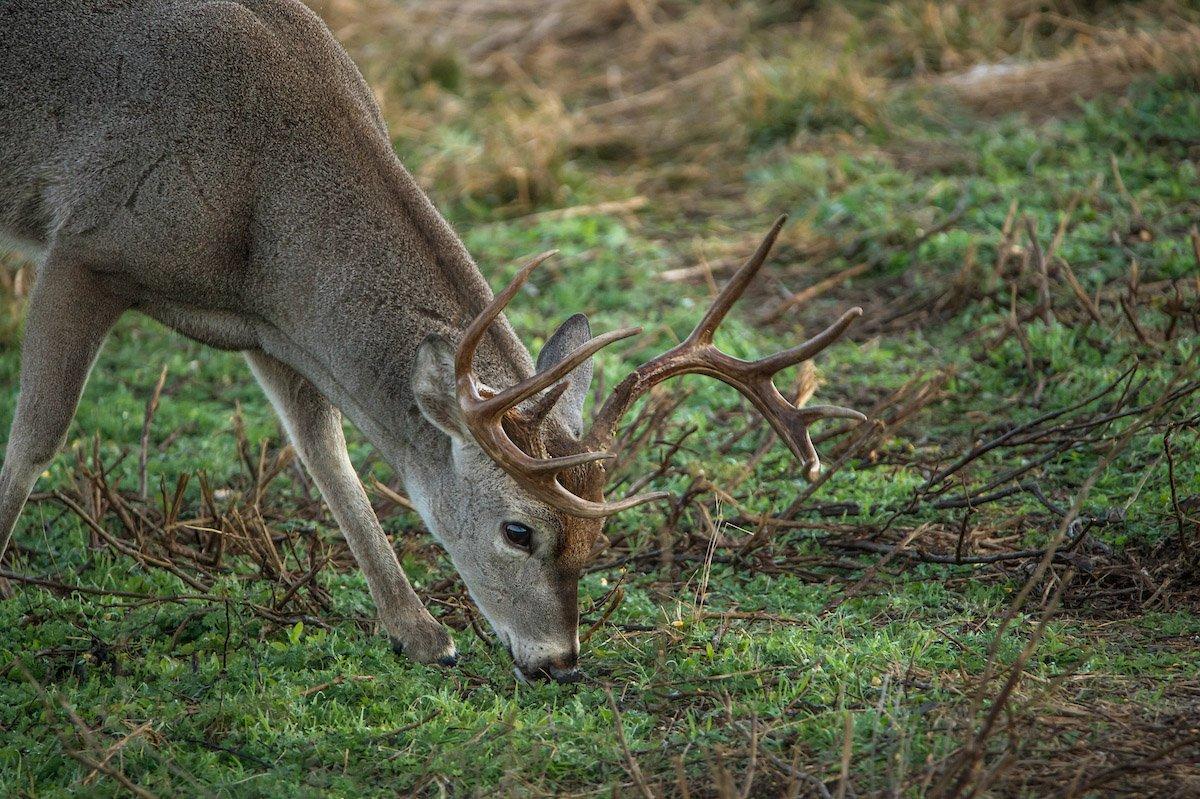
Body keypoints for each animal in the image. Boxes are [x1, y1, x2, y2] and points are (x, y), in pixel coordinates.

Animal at [0, 3, 864, 681]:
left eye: (598, 533)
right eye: (519, 529)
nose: (560, 660)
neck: (261, 210)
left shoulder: (270, 325)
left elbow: (326, 452)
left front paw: (420, 633)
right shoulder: (87, 247)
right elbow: (38, 434)